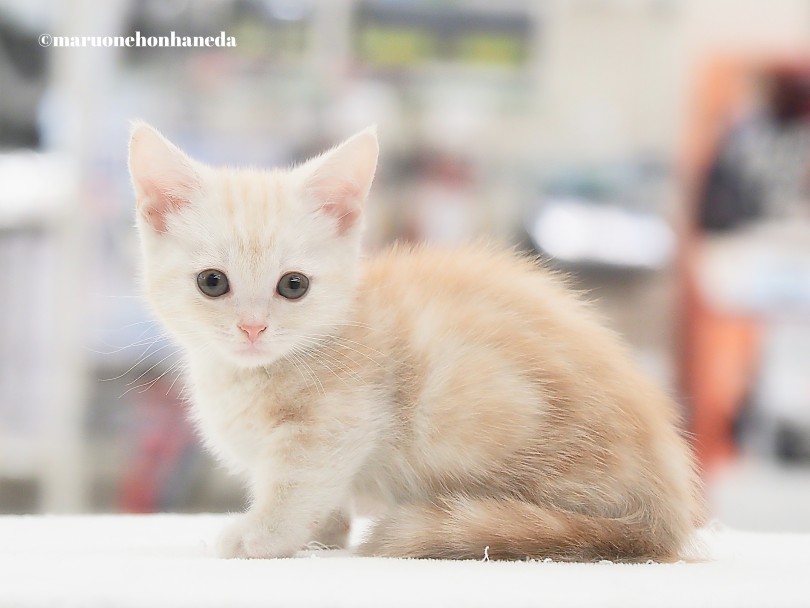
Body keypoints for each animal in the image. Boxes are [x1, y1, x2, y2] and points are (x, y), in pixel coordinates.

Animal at [129, 122, 696, 560]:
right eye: (212, 282)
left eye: (293, 285)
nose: (252, 328)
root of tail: (665, 512)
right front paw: (325, 533)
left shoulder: (343, 419)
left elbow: (298, 483)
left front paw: (264, 536)